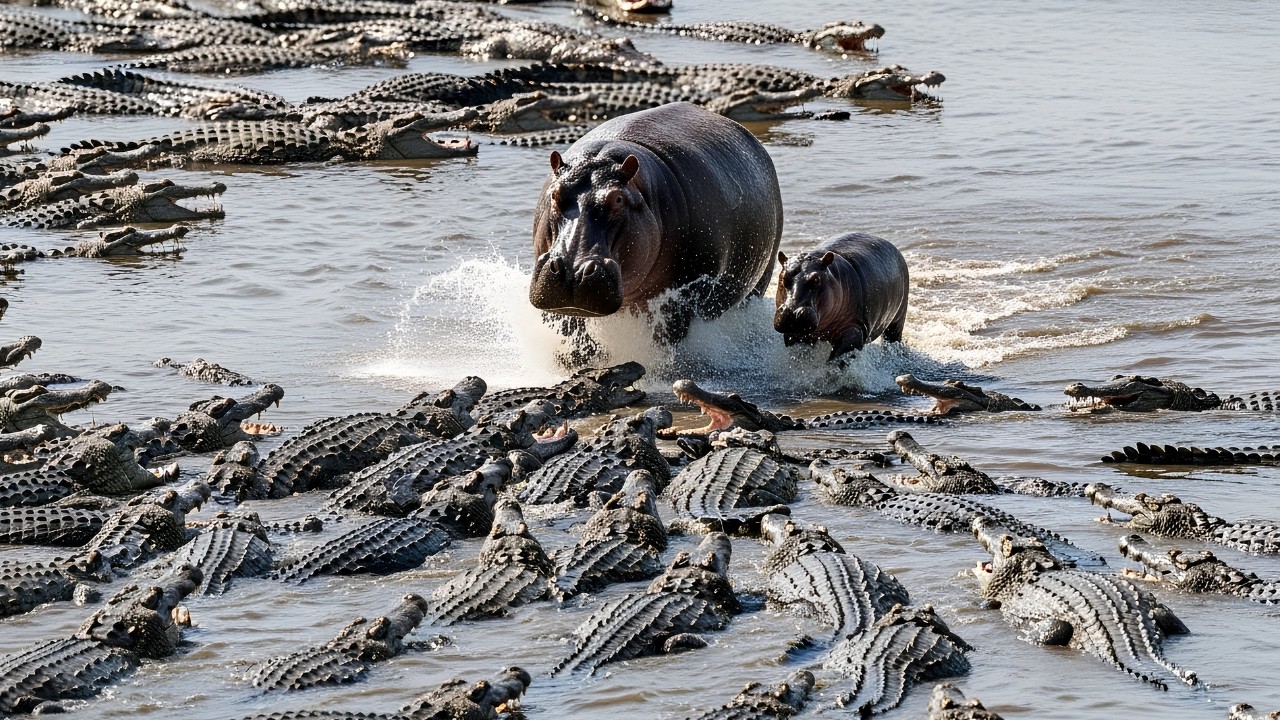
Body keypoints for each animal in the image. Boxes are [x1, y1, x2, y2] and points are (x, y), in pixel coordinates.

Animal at [774, 232, 909, 360]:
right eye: (783, 278)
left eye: (816, 279)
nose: (792, 313)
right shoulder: (796, 334)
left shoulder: (854, 330)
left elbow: (837, 359)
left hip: (898, 319)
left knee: (892, 339)